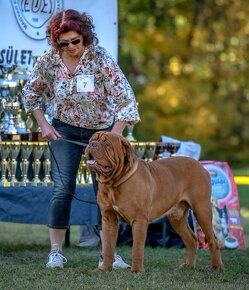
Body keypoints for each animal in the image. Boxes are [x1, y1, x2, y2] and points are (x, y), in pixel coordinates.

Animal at [85, 131, 224, 272]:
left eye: (107, 144)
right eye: (91, 140)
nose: (91, 144)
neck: (114, 182)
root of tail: (201, 166)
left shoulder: (139, 220)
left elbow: (137, 248)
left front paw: (136, 270)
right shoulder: (109, 219)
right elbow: (108, 246)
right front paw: (104, 268)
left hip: (201, 210)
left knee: (213, 239)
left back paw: (216, 266)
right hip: (176, 217)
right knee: (191, 239)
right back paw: (188, 265)